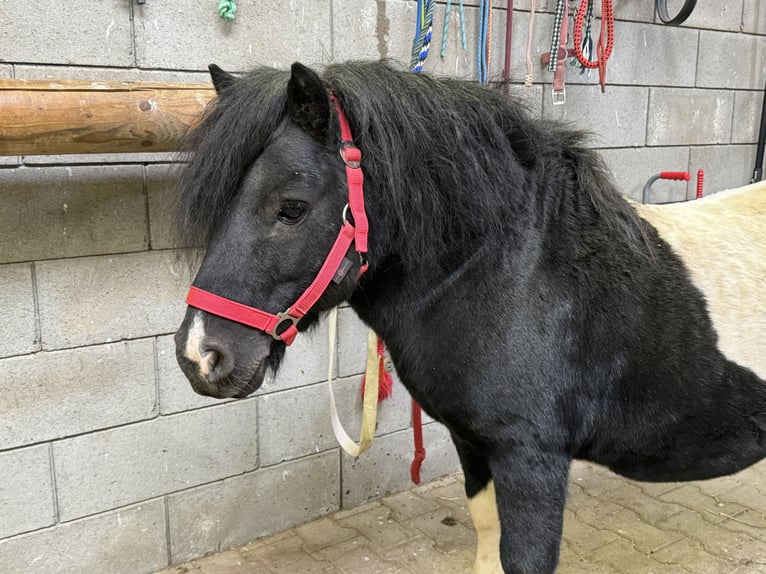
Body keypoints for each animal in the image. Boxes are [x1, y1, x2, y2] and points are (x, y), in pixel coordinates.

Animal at [177, 60, 766, 572]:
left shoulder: (533, 460)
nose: (199, 355)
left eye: (292, 207)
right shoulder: (473, 446)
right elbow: (486, 538)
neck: (519, 272)